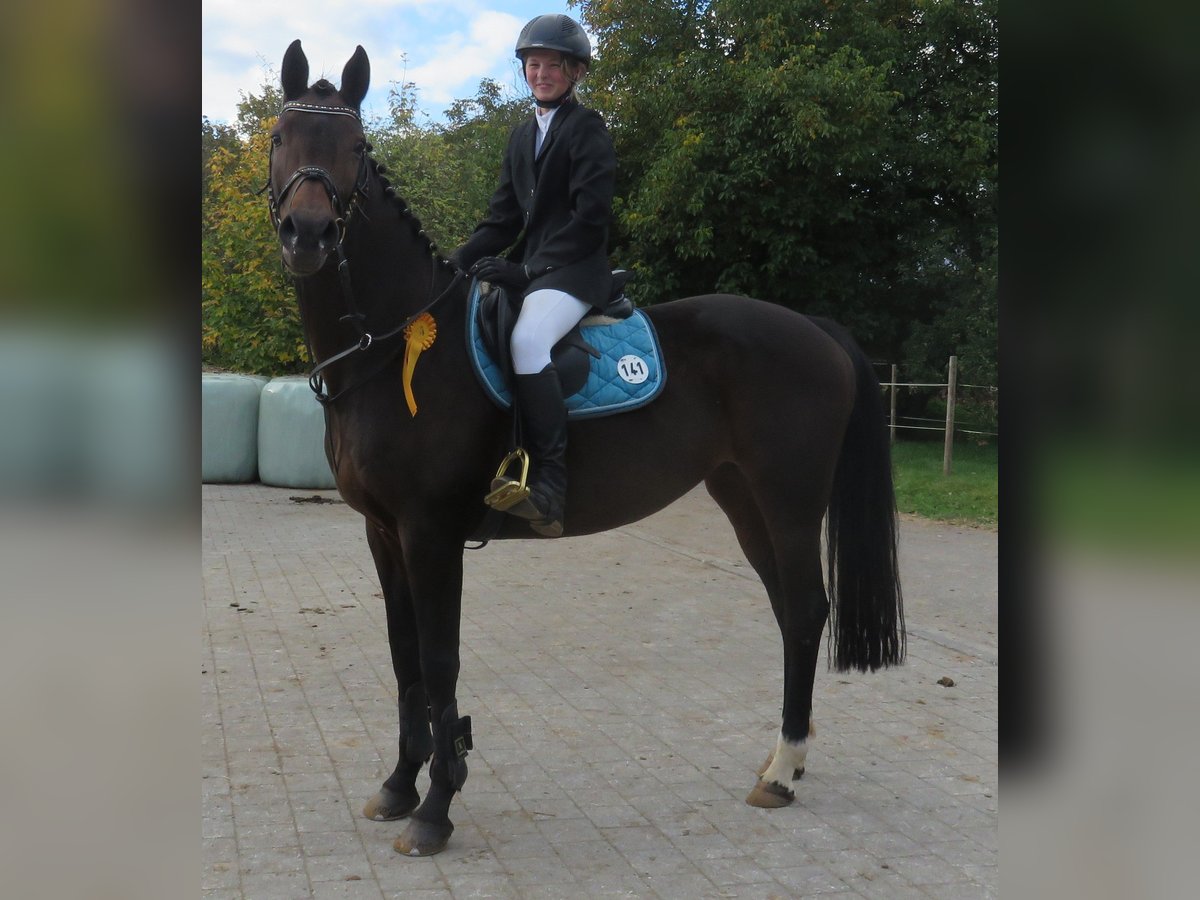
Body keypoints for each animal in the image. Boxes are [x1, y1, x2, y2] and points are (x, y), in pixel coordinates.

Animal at [267, 40, 902, 859]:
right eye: (280, 138)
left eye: (355, 148)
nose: (308, 235)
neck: (393, 346)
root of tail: (813, 328)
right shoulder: (384, 533)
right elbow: (404, 658)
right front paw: (400, 785)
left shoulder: (430, 532)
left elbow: (439, 662)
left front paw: (436, 807)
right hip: (743, 499)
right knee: (791, 609)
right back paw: (781, 761)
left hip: (790, 502)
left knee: (804, 610)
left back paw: (785, 770)